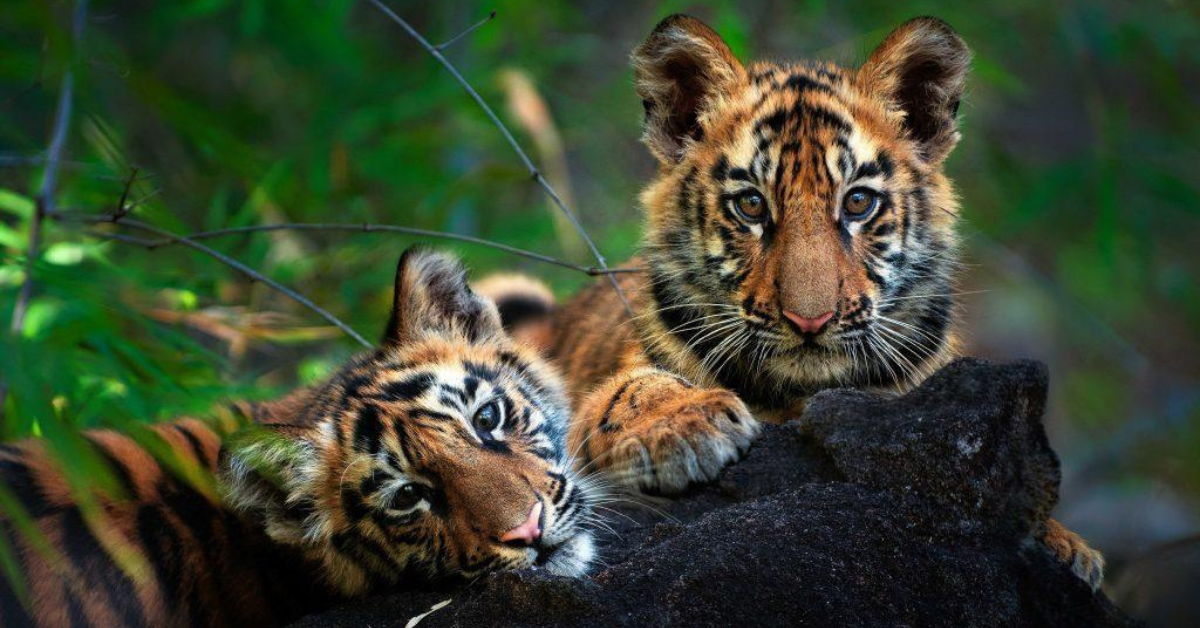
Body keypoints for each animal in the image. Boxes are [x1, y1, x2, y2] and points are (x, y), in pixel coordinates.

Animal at [480, 15, 1104, 589]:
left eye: (857, 203)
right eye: (752, 206)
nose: (811, 319)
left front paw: (1068, 545)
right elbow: (632, 389)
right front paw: (685, 427)